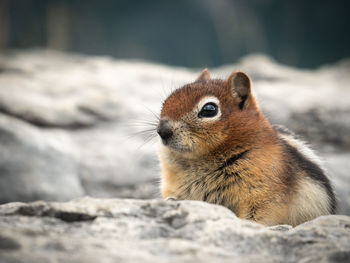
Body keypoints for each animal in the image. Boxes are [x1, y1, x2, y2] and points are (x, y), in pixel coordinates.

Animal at [157, 68, 336, 227]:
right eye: (165, 102)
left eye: (209, 110)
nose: (162, 131)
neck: (199, 159)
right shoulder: (173, 186)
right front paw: (170, 202)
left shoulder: (264, 194)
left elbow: (260, 215)